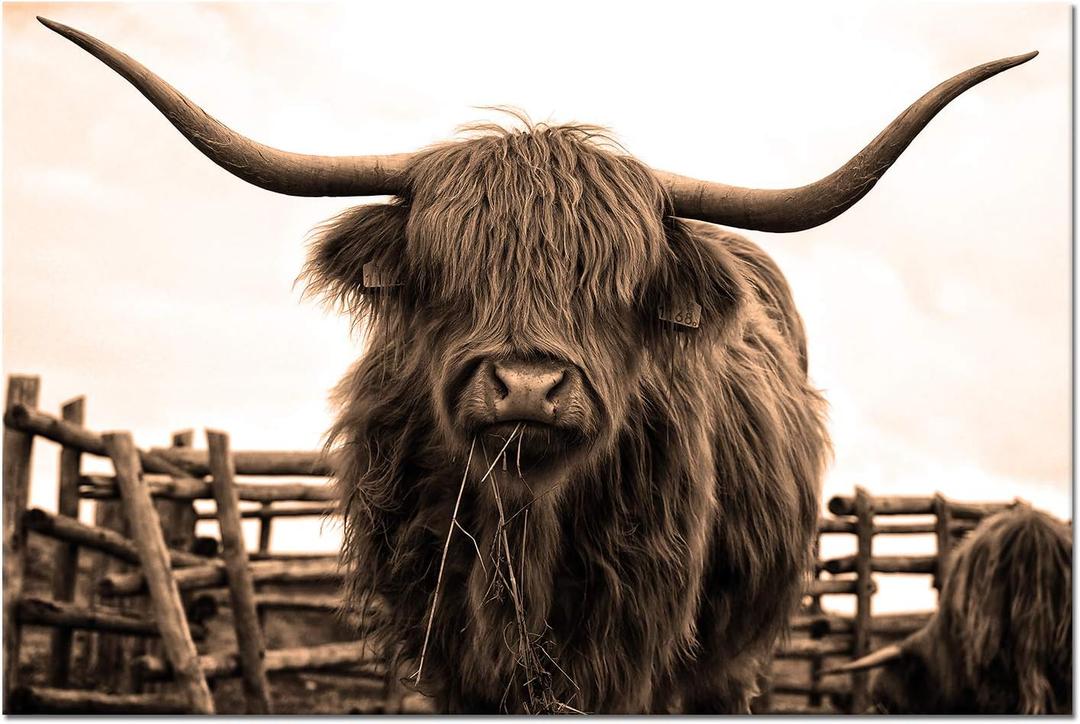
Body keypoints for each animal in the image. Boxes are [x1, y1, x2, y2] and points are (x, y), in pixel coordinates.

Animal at [39, 17, 1036, 713]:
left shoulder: (633, 653)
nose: (526, 386)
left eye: (617, 283)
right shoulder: (442, 651)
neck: (522, 525)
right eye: (449, 271)